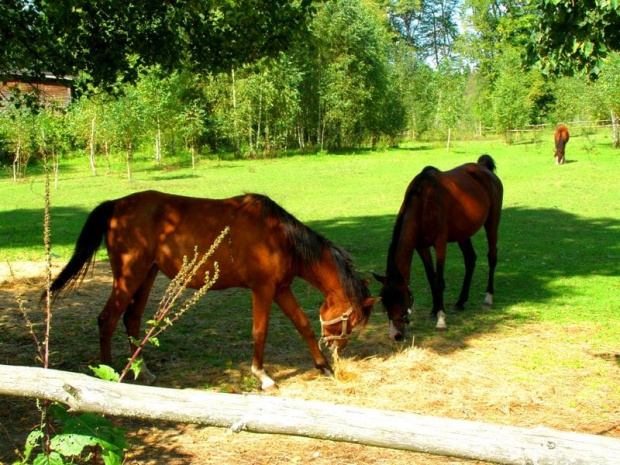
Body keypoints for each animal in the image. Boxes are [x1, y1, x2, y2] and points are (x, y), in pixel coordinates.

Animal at [47, 188, 378, 388]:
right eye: (351, 320)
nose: (338, 349)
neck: (279, 236)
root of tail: (116, 205)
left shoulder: (282, 289)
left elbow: (303, 325)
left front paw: (322, 367)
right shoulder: (263, 290)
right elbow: (260, 332)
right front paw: (262, 376)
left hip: (146, 275)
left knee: (132, 319)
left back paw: (144, 370)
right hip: (129, 276)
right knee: (108, 319)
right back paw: (107, 373)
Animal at [372, 154, 504, 338]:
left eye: (402, 298)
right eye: (384, 301)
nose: (395, 335)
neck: (424, 202)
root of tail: (483, 167)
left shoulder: (440, 243)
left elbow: (439, 280)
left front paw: (441, 320)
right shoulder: (421, 246)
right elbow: (430, 277)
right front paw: (434, 310)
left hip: (492, 223)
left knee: (492, 257)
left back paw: (488, 298)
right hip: (463, 234)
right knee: (470, 259)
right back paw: (460, 301)